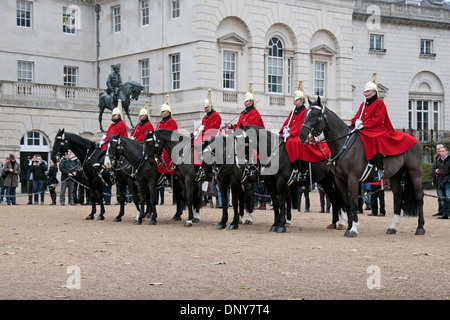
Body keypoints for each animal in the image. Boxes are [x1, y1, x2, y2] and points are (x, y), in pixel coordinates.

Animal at [298, 96, 426, 236]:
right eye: (305, 114)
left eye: (315, 114)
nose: (302, 136)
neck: (343, 145)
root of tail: (415, 140)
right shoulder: (339, 179)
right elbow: (346, 202)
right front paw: (348, 227)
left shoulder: (353, 178)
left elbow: (354, 202)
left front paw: (353, 229)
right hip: (395, 175)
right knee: (398, 196)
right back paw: (393, 227)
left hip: (415, 172)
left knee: (419, 197)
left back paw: (420, 227)